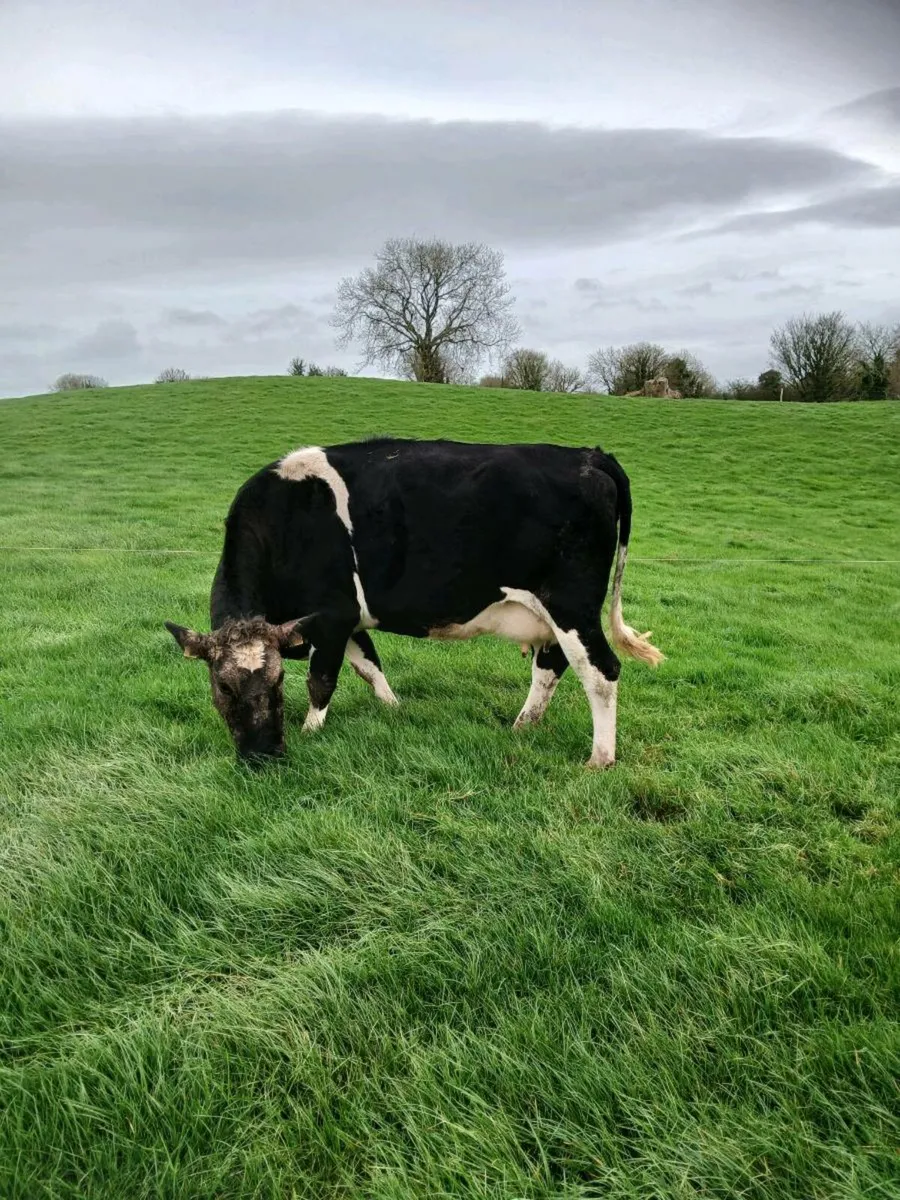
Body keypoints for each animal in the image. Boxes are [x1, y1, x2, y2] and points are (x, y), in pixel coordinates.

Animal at [165, 438, 663, 768]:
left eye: (277, 682)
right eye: (223, 687)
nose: (262, 756)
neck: (283, 522)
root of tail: (590, 455)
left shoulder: (332, 615)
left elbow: (322, 681)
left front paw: (309, 733)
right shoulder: (349, 620)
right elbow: (370, 667)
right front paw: (394, 710)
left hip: (571, 606)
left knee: (601, 671)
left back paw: (600, 759)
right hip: (552, 616)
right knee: (551, 667)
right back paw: (523, 726)